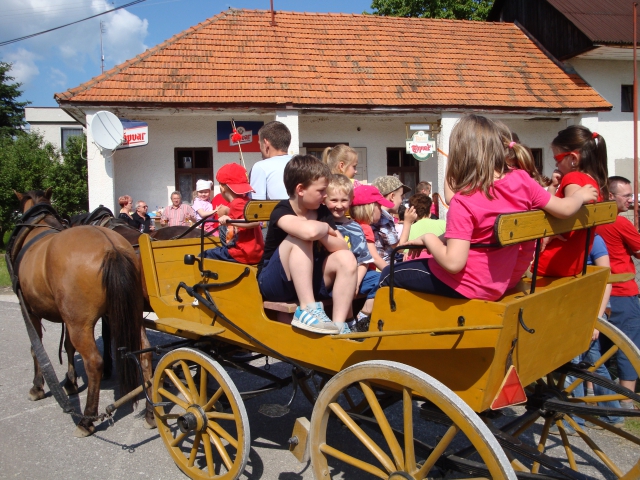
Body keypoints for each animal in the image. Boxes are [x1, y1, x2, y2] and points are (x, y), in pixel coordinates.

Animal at [8, 189, 155, 437]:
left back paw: (87, 419)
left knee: (93, 362)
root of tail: (112, 248)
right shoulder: (69, 317)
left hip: (81, 323)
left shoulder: (30, 310)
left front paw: (38, 387)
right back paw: (151, 413)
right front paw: (70, 382)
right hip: (131, 315)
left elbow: (36, 348)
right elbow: (68, 346)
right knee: (144, 354)